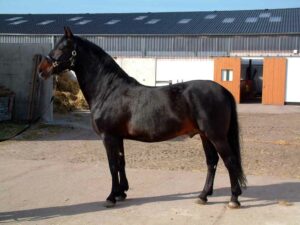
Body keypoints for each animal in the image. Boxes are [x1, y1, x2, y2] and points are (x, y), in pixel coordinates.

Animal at [38, 27, 246, 209]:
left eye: (62, 48)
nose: (41, 70)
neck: (108, 90)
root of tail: (223, 90)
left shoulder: (108, 136)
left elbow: (112, 165)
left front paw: (111, 197)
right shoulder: (118, 137)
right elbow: (121, 162)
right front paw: (122, 192)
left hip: (216, 135)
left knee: (230, 161)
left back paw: (234, 199)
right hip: (205, 135)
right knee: (212, 162)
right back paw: (203, 196)